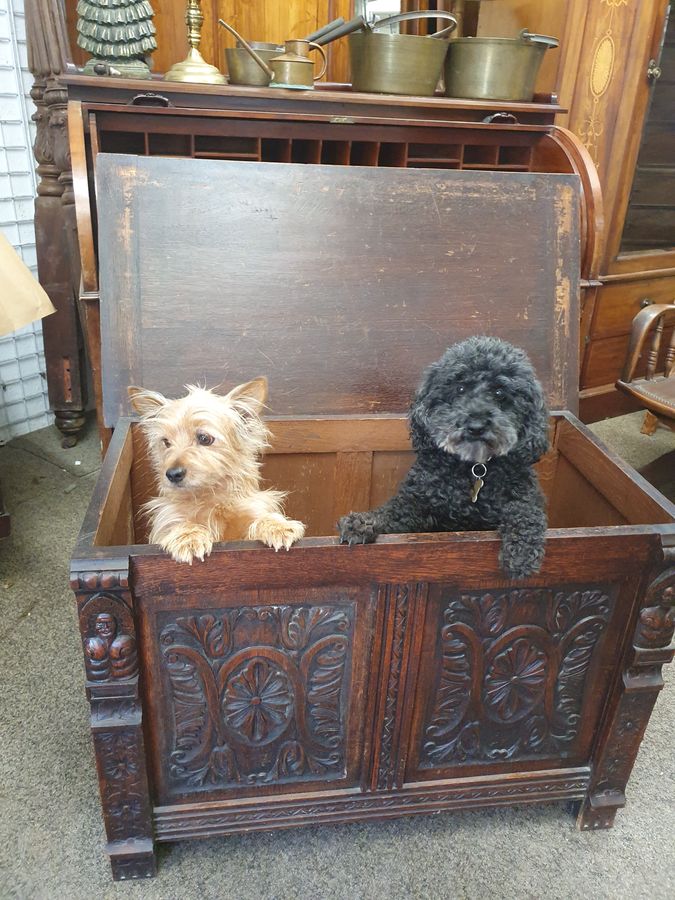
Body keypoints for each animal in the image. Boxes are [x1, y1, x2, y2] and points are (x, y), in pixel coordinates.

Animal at [127, 378, 306, 564]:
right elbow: (177, 524)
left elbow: (262, 518)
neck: (211, 499)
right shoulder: (167, 517)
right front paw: (189, 537)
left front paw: (278, 526)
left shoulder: (251, 510)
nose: (172, 474)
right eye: (166, 442)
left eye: (204, 438)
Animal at [338, 334, 548, 580]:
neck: (473, 468)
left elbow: (525, 511)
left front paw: (522, 551)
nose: (476, 426)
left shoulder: (526, 495)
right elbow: (391, 512)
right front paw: (361, 523)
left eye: (499, 392)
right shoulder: (414, 504)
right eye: (460, 388)